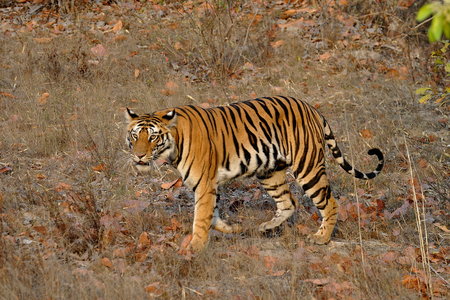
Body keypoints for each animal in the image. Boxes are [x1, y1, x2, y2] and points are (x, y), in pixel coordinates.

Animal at [125, 96, 384, 251]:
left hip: (308, 167)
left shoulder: (205, 183)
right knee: (288, 202)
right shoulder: (210, 184)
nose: (139, 156)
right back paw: (266, 227)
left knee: (329, 202)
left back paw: (321, 237)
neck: (173, 145)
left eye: (153, 137)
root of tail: (311, 108)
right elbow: (213, 215)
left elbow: (201, 217)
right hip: (270, 172)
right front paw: (234, 230)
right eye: (135, 136)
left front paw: (195, 247)